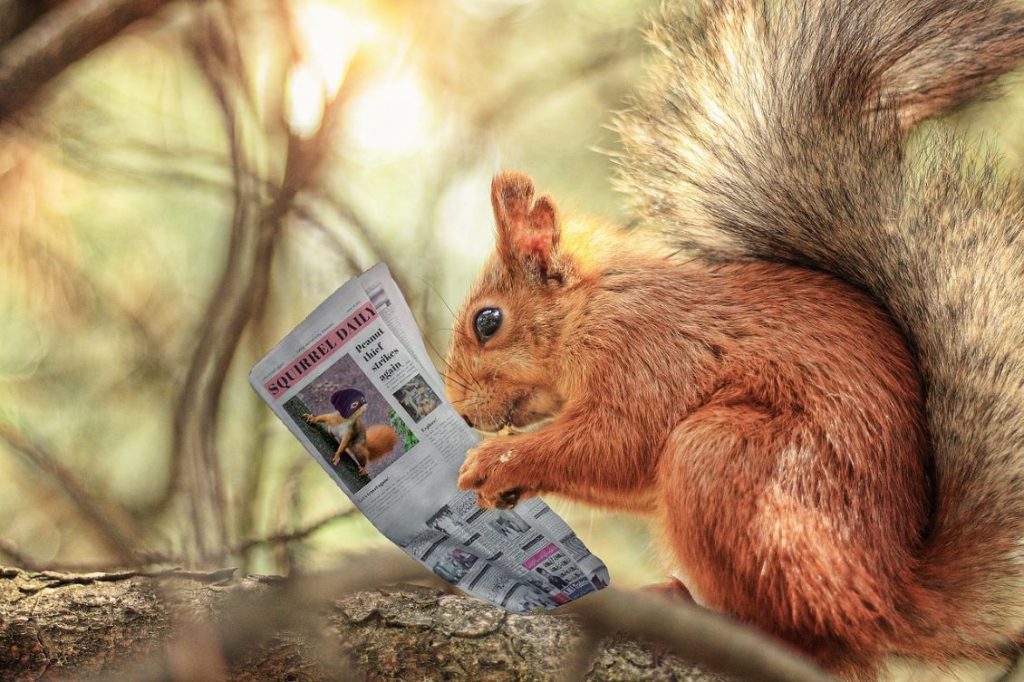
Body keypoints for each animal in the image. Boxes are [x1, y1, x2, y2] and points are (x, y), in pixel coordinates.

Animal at [443, 0, 1024, 677]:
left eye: (488, 321)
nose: (461, 413)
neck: (593, 306)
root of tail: (889, 598)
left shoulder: (649, 350)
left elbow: (619, 440)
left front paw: (498, 460)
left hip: (728, 463)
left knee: (801, 634)